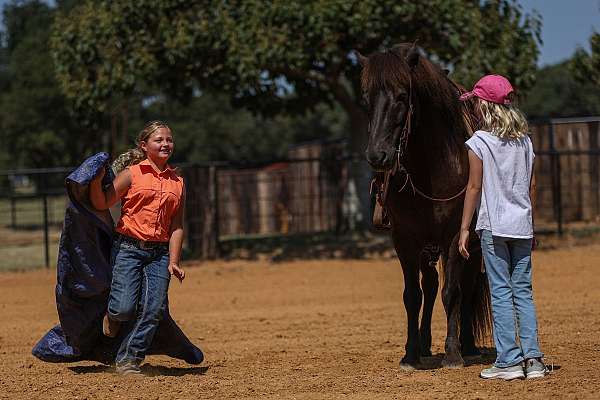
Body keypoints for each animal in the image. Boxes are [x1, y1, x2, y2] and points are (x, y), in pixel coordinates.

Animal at [356, 43, 492, 368]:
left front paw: (453, 353)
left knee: (467, 288)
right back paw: (426, 344)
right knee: (429, 285)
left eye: (402, 95)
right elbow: (413, 295)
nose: (377, 155)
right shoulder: (405, 239)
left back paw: (468, 345)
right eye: (366, 99)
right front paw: (410, 352)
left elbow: (452, 292)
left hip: (471, 245)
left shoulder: (455, 237)